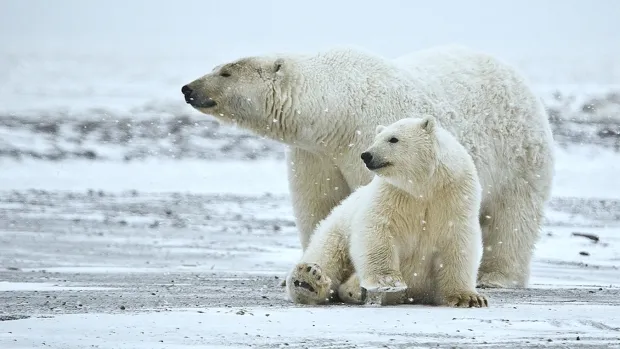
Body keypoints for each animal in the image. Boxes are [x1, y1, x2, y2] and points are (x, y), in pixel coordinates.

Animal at [284, 115, 486, 306]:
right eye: (376, 138)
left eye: (393, 139)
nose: (366, 155)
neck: (423, 186)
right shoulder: (392, 194)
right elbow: (377, 228)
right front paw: (388, 281)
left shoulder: (454, 197)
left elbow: (458, 242)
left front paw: (468, 298)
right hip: (337, 229)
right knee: (327, 253)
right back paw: (308, 280)